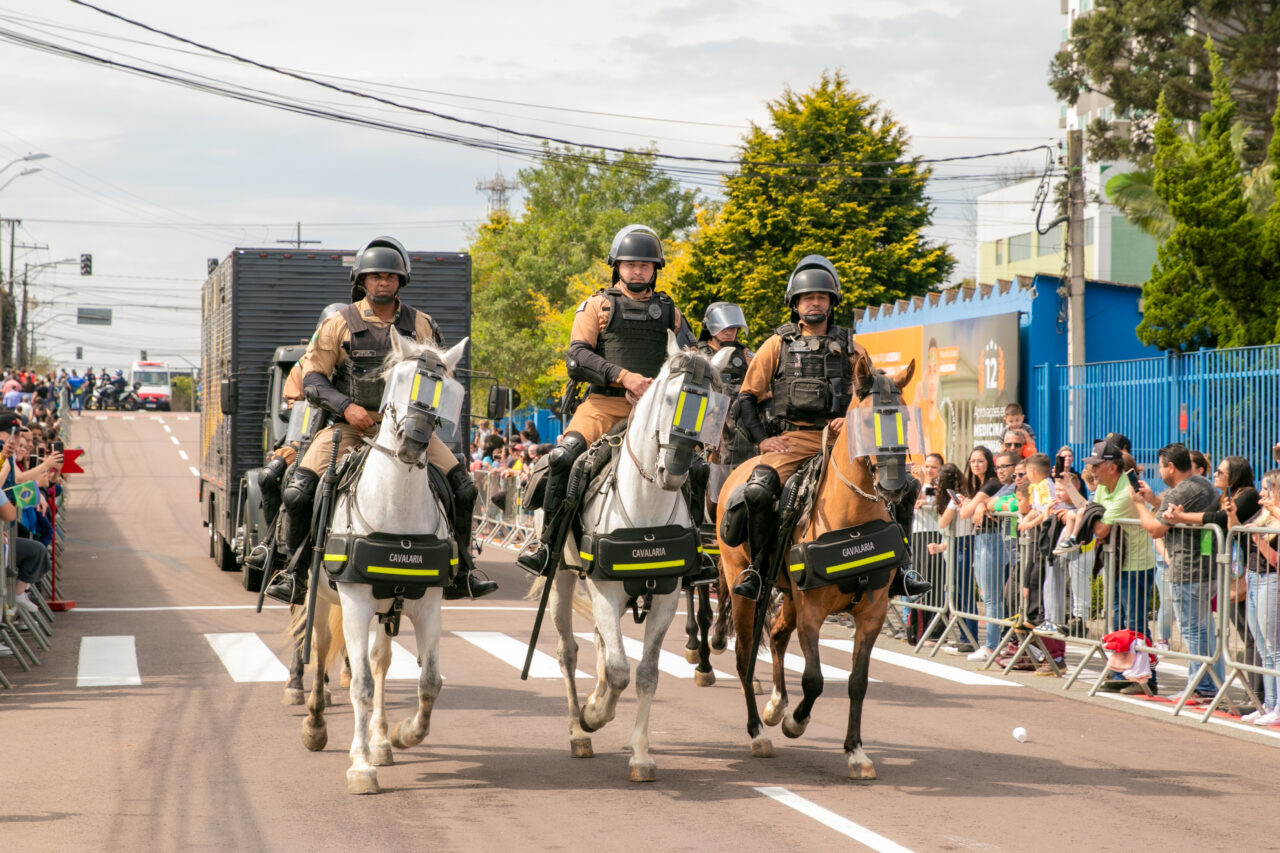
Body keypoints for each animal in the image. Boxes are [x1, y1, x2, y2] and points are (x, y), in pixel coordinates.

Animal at [293, 330, 468, 788]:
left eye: (448, 391)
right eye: (399, 380)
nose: (413, 444)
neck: (397, 511)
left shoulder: (427, 605)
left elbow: (428, 681)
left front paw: (404, 735)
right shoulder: (354, 604)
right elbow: (360, 686)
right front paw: (360, 766)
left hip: (390, 606)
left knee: (381, 661)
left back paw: (381, 740)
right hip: (323, 597)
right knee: (321, 651)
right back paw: (315, 724)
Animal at [547, 333, 732, 778]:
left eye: (713, 406)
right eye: (667, 397)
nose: (675, 471)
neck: (646, 504)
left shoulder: (664, 597)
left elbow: (645, 673)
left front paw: (641, 754)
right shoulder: (604, 591)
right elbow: (618, 671)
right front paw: (593, 717)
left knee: (600, 644)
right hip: (563, 580)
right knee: (568, 651)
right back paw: (578, 731)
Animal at [716, 350, 916, 778]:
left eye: (907, 419)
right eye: (865, 422)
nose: (894, 486)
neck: (852, 520)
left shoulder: (872, 613)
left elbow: (857, 681)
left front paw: (855, 751)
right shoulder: (812, 611)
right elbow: (813, 679)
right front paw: (796, 722)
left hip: (788, 595)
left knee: (776, 635)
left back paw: (775, 705)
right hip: (745, 589)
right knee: (743, 656)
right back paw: (758, 731)